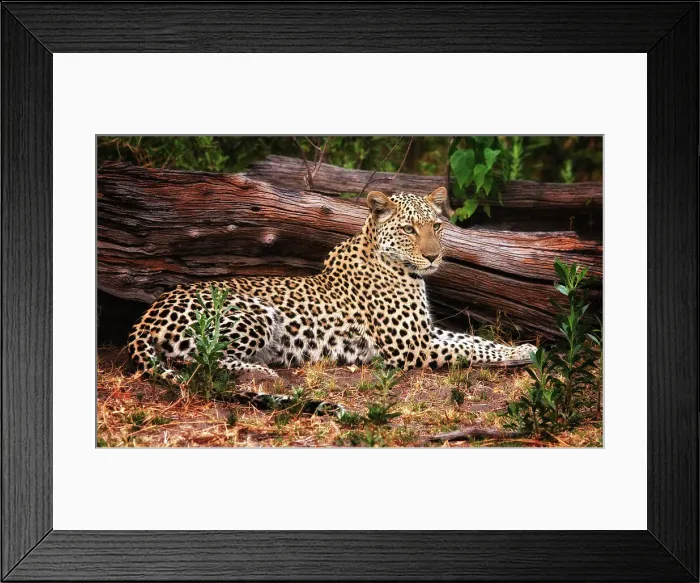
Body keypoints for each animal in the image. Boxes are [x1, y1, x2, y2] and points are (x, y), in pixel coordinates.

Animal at [128, 186, 536, 383]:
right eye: (408, 229)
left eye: (436, 226)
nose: (434, 257)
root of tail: (146, 316)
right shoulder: (412, 347)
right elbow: (471, 350)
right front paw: (514, 355)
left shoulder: (425, 333)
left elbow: (475, 340)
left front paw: (522, 348)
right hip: (254, 312)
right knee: (199, 360)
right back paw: (260, 372)